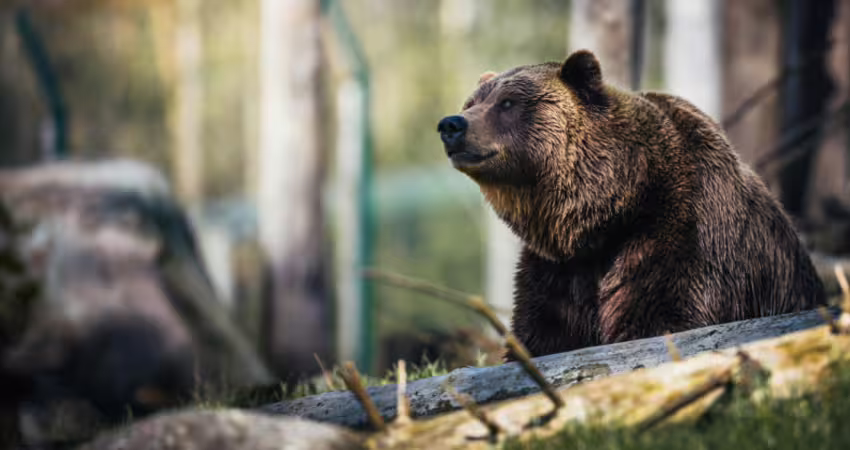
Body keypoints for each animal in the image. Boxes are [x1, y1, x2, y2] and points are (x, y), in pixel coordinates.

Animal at [437, 49, 827, 358]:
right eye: (472, 103)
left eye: (508, 103)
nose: (451, 124)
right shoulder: (558, 270)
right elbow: (543, 333)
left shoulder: (680, 234)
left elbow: (661, 315)